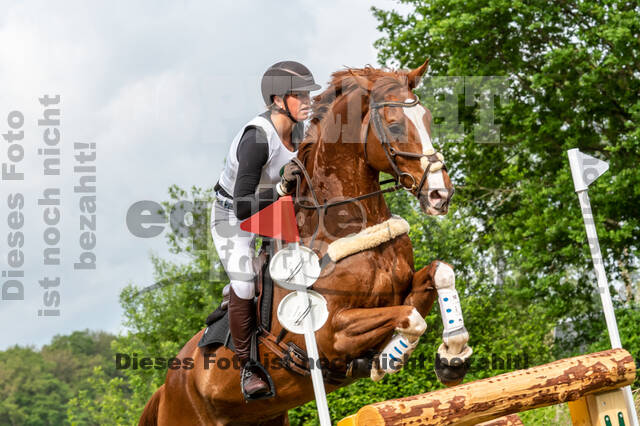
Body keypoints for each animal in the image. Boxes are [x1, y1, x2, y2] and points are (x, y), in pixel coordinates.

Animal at [139, 59, 472, 425]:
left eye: (427, 119)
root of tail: (166, 386)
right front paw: (389, 358)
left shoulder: (403, 289)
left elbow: (438, 275)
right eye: (395, 125)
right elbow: (411, 318)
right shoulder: (333, 334)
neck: (345, 226)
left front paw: (452, 357)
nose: (440, 194)